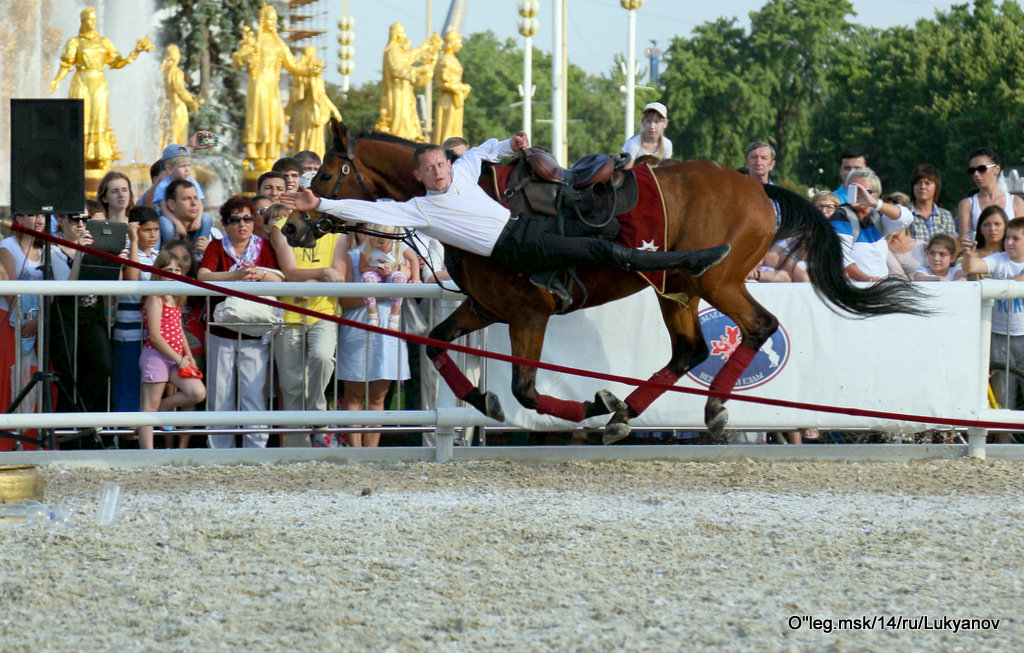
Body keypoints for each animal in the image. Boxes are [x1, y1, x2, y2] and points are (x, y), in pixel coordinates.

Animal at [284, 119, 925, 442]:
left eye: (327, 173)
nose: (291, 224)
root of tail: (756, 186)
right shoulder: (486, 307)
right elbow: (438, 345)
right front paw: (482, 398)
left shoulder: (529, 312)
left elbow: (525, 390)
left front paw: (588, 402)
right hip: (679, 293)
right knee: (691, 350)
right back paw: (629, 413)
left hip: (716, 283)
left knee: (757, 326)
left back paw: (703, 407)